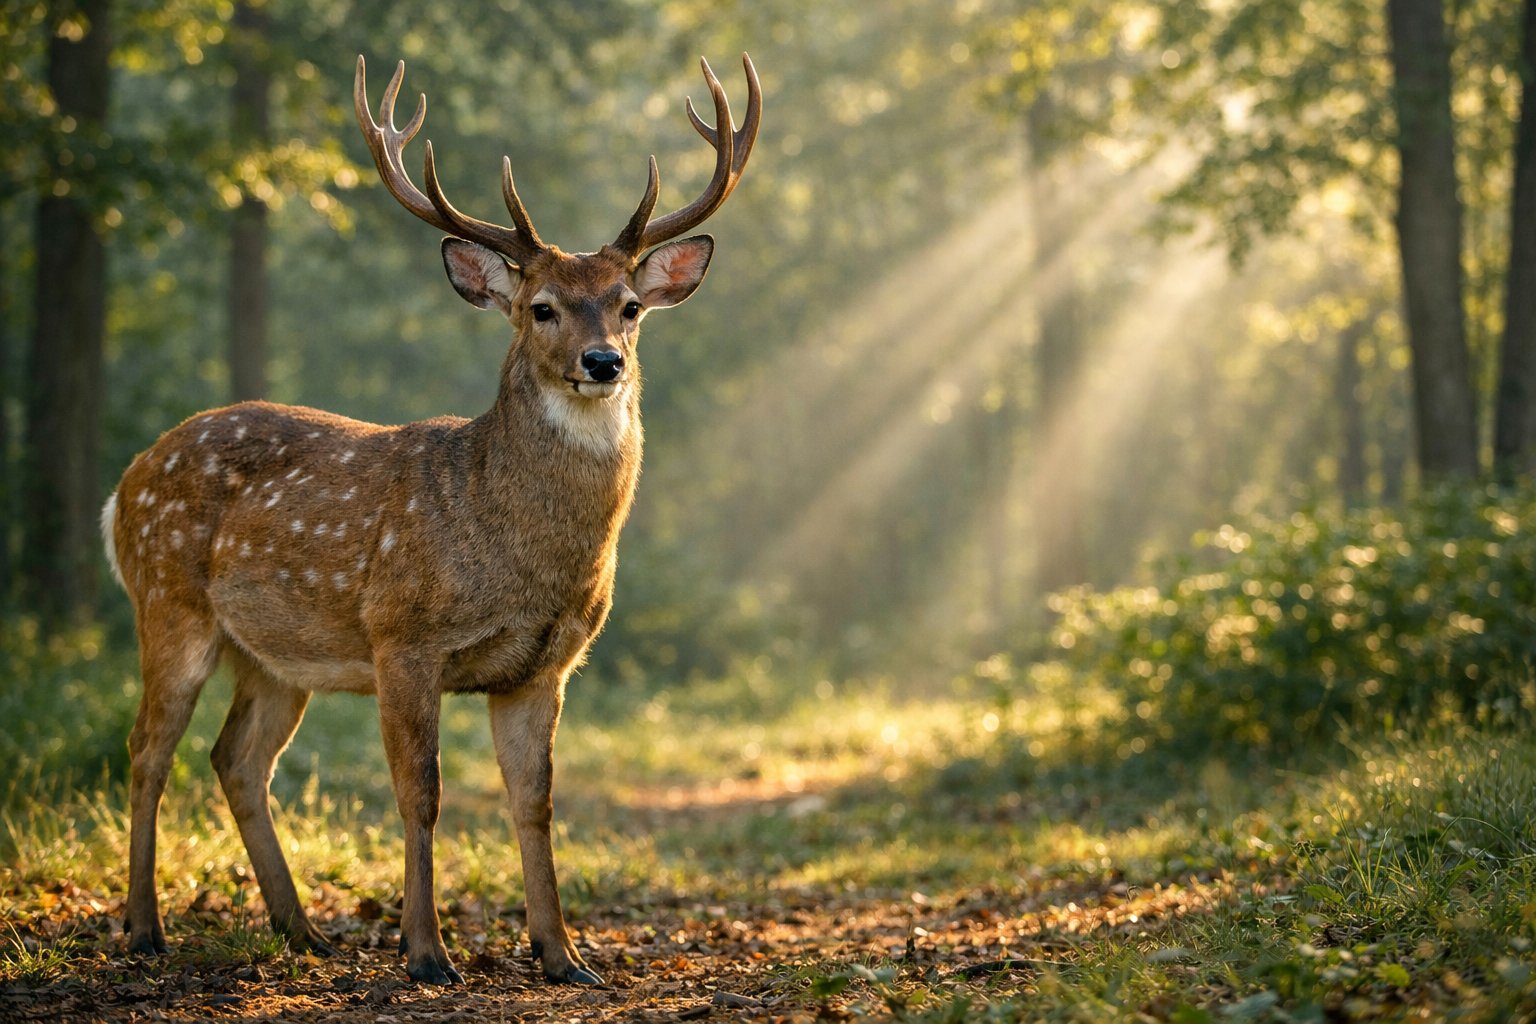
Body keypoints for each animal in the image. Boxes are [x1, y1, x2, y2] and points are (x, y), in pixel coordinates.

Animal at [101, 52, 759, 987]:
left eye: (630, 305)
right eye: (541, 308)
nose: (603, 362)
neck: (511, 546)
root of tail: (125, 484)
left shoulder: (544, 665)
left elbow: (535, 801)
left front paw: (563, 955)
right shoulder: (402, 634)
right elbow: (422, 792)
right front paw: (425, 951)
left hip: (276, 656)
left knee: (237, 759)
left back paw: (301, 931)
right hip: (167, 601)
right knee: (147, 749)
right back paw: (145, 928)